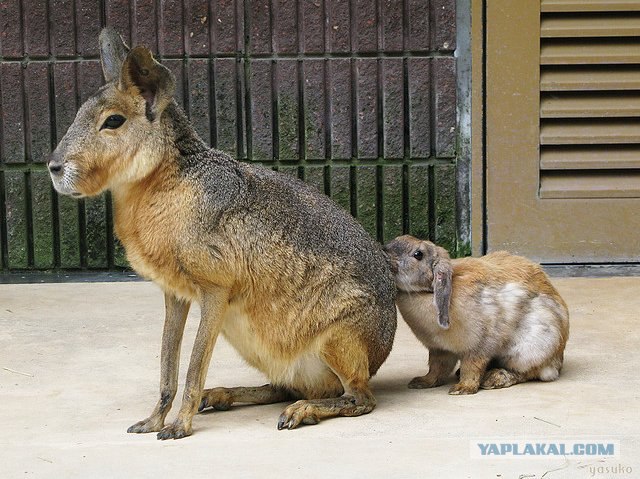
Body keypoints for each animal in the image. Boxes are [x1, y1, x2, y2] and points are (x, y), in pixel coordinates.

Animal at [382, 234, 568, 396]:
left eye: (418, 254)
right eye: (398, 238)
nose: (385, 252)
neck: (426, 293)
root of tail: (557, 359)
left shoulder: (478, 347)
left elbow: (471, 368)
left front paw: (462, 389)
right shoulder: (439, 350)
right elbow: (436, 369)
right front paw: (422, 382)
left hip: (530, 350)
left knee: (529, 372)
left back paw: (494, 378)